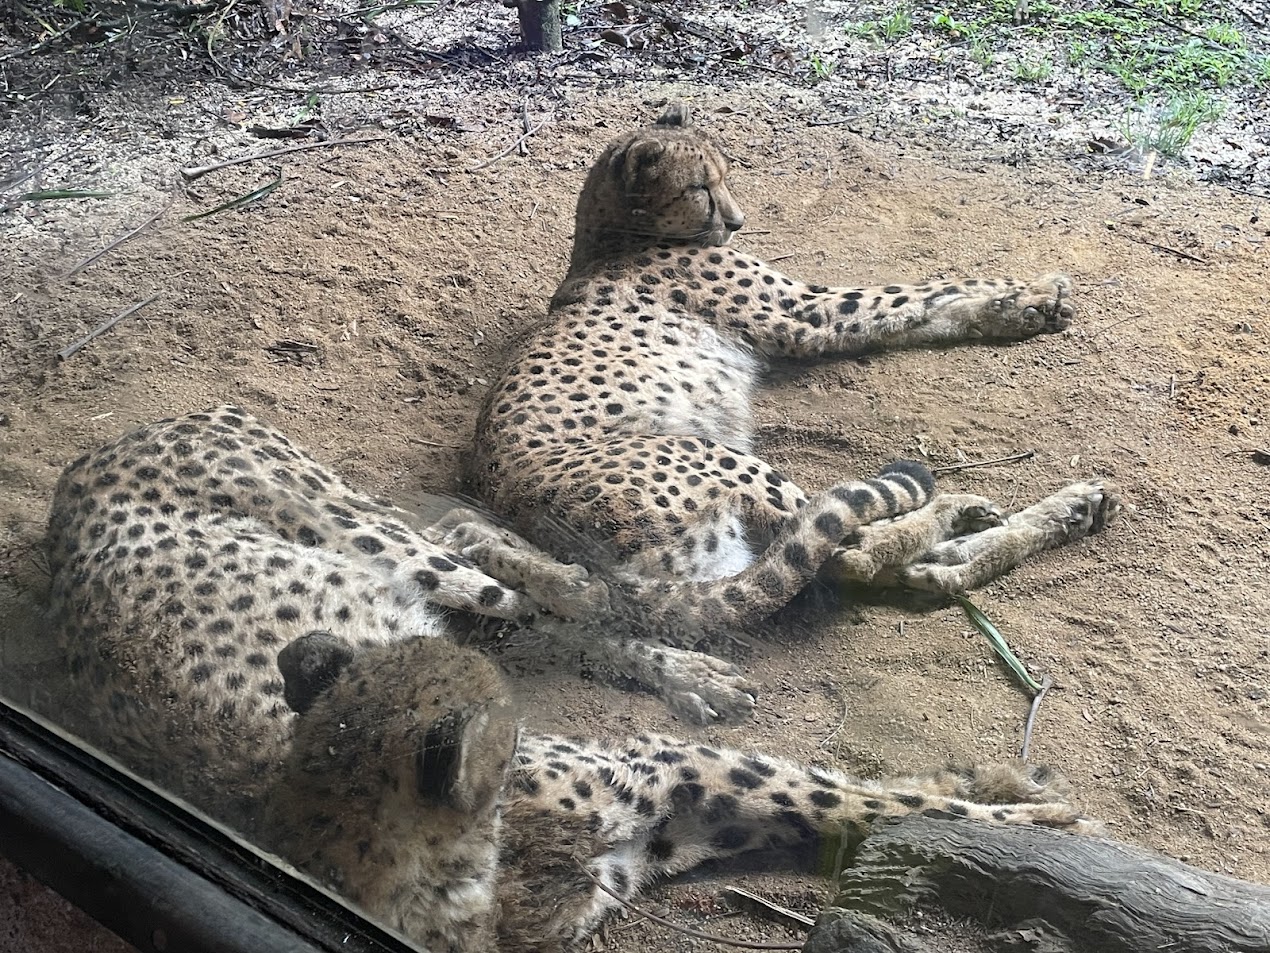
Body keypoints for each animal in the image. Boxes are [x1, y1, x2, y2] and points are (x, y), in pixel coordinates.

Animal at [41, 411, 1099, 952]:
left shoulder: (660, 793)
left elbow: (857, 796)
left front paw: (1019, 803)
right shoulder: (665, 802)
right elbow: (857, 801)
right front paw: (1031, 813)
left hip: (385, 539)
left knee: (553, 581)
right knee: (598, 594)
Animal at [465, 102, 1121, 659]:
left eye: (727, 176)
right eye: (699, 189)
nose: (737, 221)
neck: (614, 233)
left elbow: (938, 292)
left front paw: (1029, 297)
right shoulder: (808, 315)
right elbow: (912, 292)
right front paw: (1028, 299)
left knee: (894, 563)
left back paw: (1059, 513)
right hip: (716, 457)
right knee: (857, 550)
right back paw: (1016, 505)